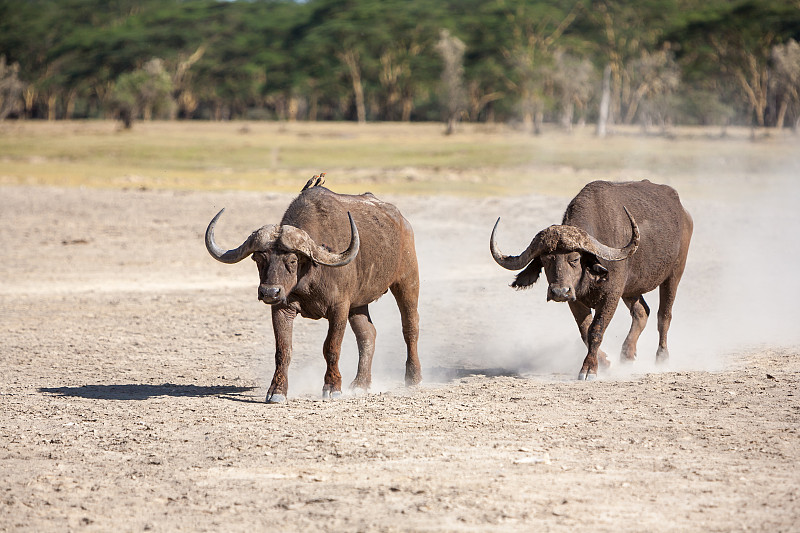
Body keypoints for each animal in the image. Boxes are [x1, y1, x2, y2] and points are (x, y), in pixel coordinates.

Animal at [206, 177, 422, 402]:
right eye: (259, 259)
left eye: (292, 260)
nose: (269, 292)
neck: (309, 276)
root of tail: (402, 222)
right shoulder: (282, 308)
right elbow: (283, 350)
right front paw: (277, 391)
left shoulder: (339, 308)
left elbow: (331, 347)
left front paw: (332, 387)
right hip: (359, 304)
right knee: (367, 334)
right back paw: (361, 384)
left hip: (407, 281)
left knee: (410, 327)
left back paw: (413, 378)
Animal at [490, 179, 692, 378]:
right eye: (546, 260)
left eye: (574, 259)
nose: (559, 292)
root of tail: (683, 212)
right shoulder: (574, 298)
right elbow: (585, 330)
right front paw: (605, 362)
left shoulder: (611, 296)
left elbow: (596, 330)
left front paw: (589, 368)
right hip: (631, 289)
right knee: (642, 312)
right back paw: (627, 356)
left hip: (675, 273)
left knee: (663, 315)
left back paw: (662, 358)